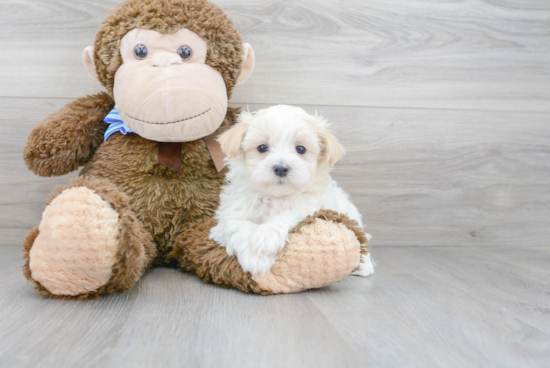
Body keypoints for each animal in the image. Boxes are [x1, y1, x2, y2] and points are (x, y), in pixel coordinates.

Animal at [211, 105, 376, 278]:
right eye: (262, 148)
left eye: (301, 149)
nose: (281, 168)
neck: (276, 197)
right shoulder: (229, 214)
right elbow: (237, 226)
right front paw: (254, 259)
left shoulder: (312, 206)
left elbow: (289, 214)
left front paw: (266, 238)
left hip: (350, 213)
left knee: (360, 236)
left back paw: (364, 265)